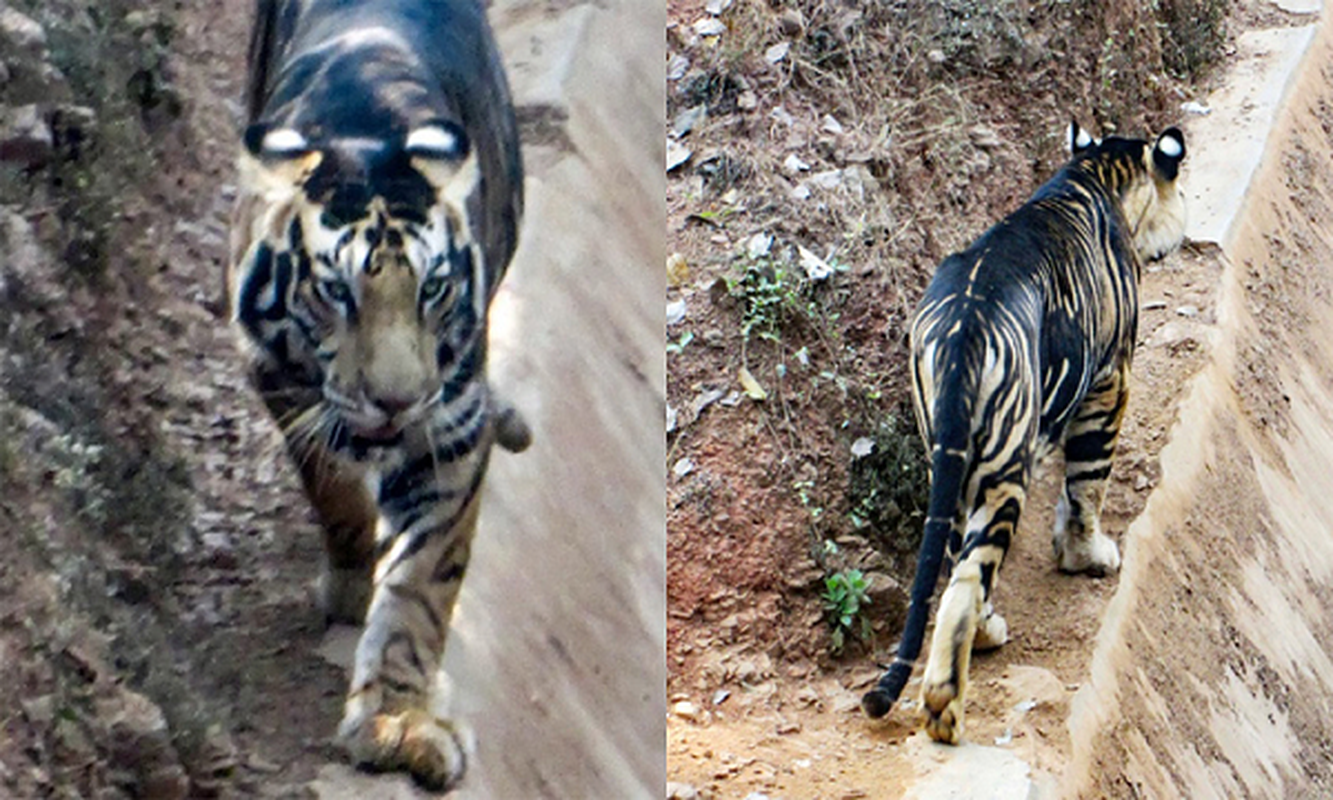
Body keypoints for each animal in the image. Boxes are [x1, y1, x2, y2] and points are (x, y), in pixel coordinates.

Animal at [223, 0, 525, 789]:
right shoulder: (277, 378)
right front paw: (353, 581)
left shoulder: (449, 426)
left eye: (434, 288)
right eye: (336, 292)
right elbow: (330, 487)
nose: (396, 401)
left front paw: (396, 722)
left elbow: (421, 582)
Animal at [863, 122, 1189, 741]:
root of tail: (963, 327)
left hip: (953, 460)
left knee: (959, 560)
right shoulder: (1111, 378)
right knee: (968, 578)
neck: (1093, 170)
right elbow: (1089, 481)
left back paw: (984, 637)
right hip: (1002, 467)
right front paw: (1087, 554)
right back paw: (945, 707)